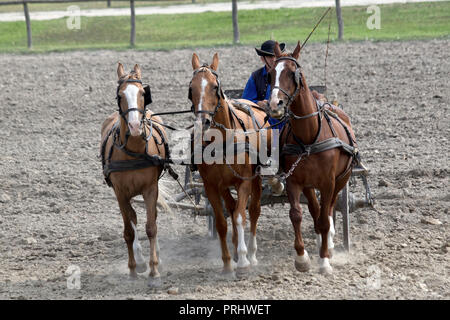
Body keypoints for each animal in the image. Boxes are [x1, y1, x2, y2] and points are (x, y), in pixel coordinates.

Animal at [100, 62, 169, 288]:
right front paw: (133, 269)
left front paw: (154, 270)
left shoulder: (150, 189)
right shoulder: (120, 193)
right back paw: (139, 261)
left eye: (142, 93)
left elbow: (151, 227)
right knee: (132, 218)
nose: (135, 126)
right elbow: (129, 231)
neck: (133, 150)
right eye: (120, 95)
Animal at [189, 52, 272, 276]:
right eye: (191, 88)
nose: (203, 122)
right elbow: (221, 222)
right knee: (233, 207)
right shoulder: (211, 186)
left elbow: (240, 217)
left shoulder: (243, 182)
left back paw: (251, 253)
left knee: (253, 210)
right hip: (224, 186)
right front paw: (228, 263)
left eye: (214, 86)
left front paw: (243, 260)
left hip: (256, 177)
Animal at [268, 41, 358, 274]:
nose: (274, 105)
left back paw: (330, 243)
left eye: (293, 72)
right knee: (315, 210)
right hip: (309, 185)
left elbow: (326, 218)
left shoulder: (328, 182)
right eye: (271, 73)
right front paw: (302, 258)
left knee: (329, 209)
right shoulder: (293, 181)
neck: (309, 137)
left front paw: (324, 260)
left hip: (341, 179)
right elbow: (297, 214)